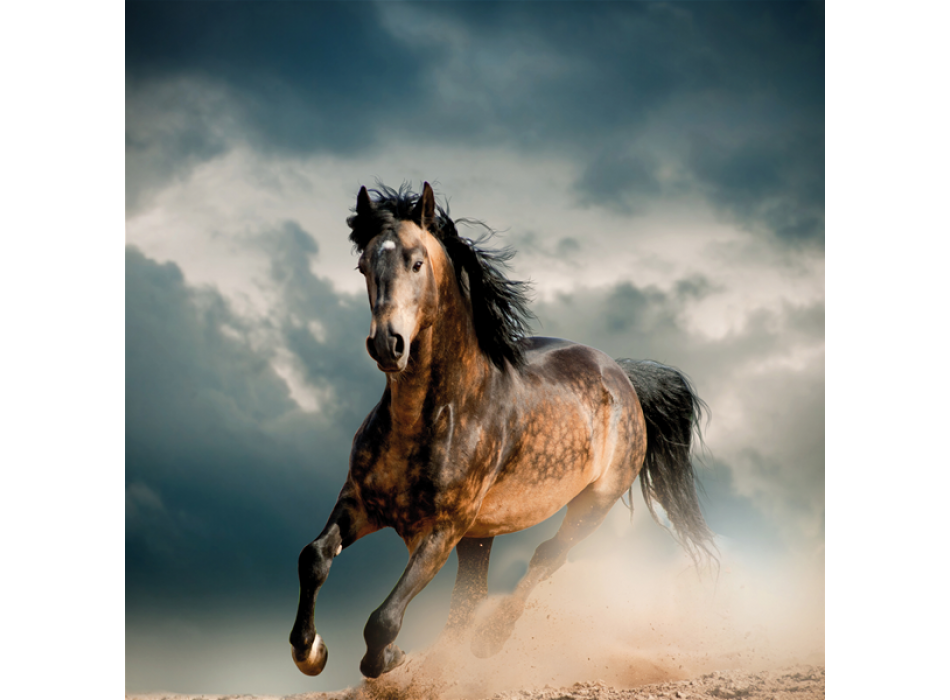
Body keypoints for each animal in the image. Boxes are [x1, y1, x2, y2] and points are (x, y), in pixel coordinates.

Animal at [289, 182, 716, 679]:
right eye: (363, 266)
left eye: (416, 262)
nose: (387, 344)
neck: (431, 418)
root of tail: (623, 375)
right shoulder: (360, 503)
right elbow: (314, 557)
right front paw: (310, 651)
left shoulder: (442, 529)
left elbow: (384, 619)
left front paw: (389, 658)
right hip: (481, 535)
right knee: (470, 595)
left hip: (593, 504)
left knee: (546, 557)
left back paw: (489, 641)